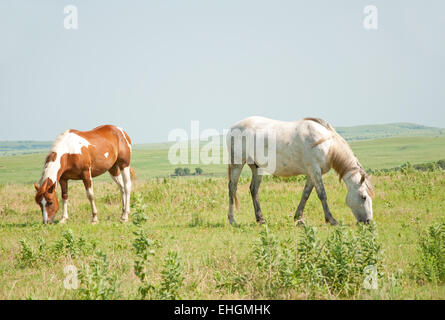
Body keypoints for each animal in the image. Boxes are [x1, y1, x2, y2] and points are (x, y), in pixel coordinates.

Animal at [227, 117, 372, 225]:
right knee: (232, 188)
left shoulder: (311, 173)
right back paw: (232, 220)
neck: (327, 145)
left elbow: (305, 194)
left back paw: (260, 219)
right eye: (364, 197)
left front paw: (298, 218)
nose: (368, 221)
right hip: (237, 164)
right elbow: (322, 194)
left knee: (254, 190)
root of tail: (232, 128)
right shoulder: (314, 170)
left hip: (257, 167)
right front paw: (331, 220)